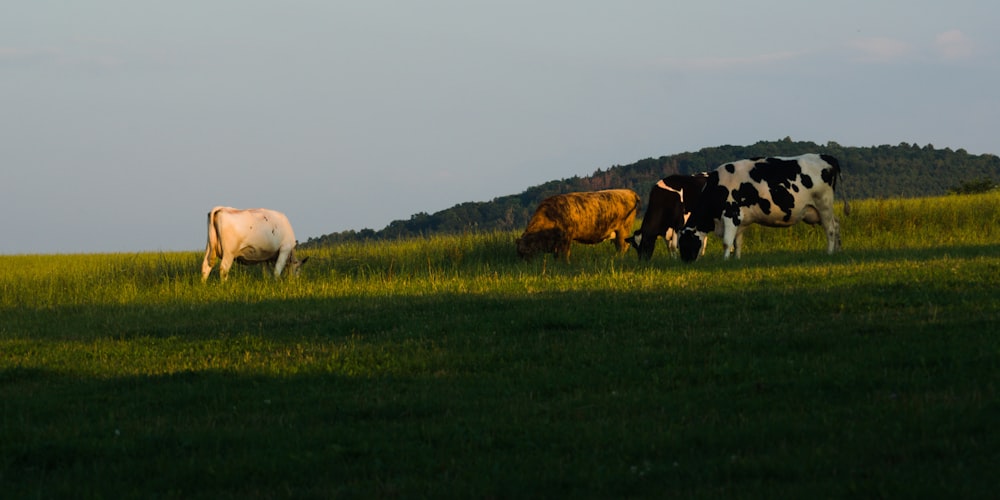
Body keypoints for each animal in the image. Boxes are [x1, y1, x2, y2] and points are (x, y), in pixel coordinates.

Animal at [680, 152, 844, 262]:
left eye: (684, 242)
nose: (685, 261)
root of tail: (827, 157)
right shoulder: (741, 220)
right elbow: (737, 242)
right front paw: (736, 260)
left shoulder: (731, 214)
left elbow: (727, 242)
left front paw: (725, 260)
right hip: (819, 210)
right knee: (836, 224)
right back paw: (837, 250)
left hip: (824, 204)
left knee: (830, 229)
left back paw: (829, 252)